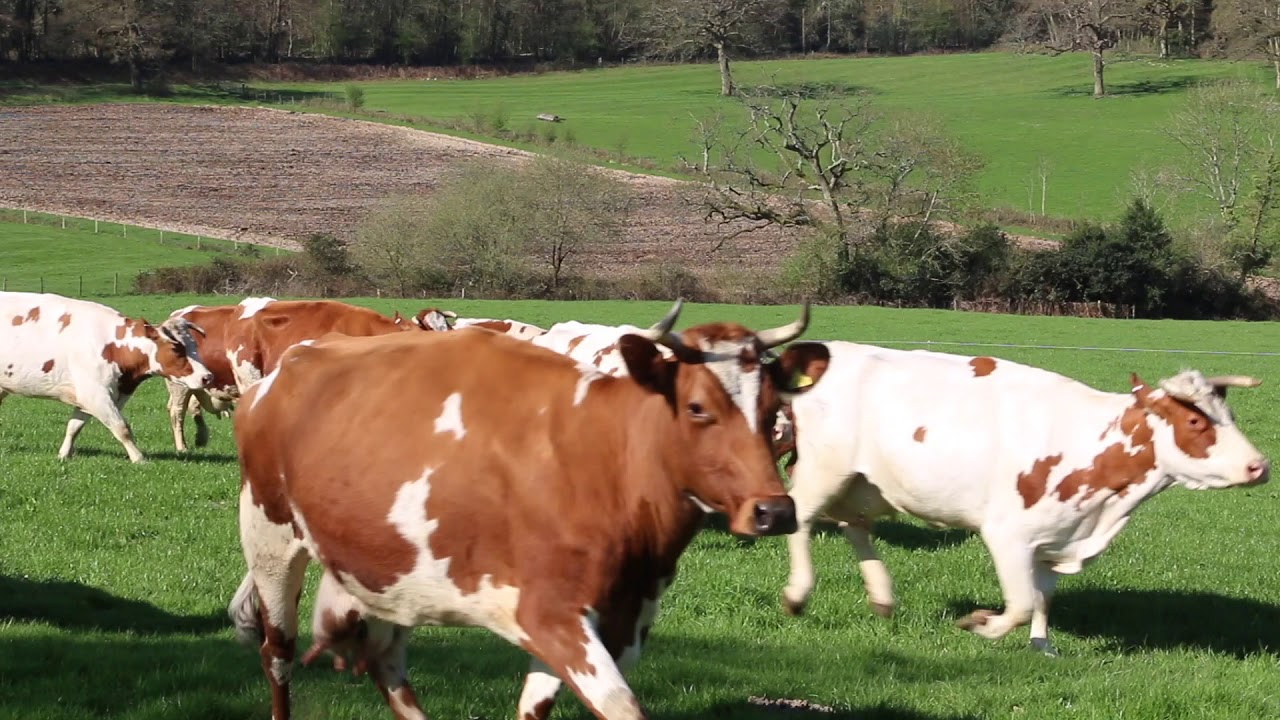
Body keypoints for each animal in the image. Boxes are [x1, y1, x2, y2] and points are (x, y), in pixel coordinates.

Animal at [0, 292, 213, 463]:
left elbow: (74, 426)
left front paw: (64, 454)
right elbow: (121, 428)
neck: (112, 346)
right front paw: (139, 458)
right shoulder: (96, 395)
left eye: (195, 345)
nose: (207, 377)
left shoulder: (92, 397)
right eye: (176, 349)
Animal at [226, 300, 830, 720]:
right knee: (277, 654)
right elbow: (623, 707)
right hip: (271, 538)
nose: (774, 510)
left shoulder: (615, 623)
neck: (608, 466)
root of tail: (291, 364)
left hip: (384, 566)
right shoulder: (554, 616)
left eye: (775, 407)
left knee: (386, 663)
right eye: (698, 407)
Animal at [780, 341, 1270, 656]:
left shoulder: (1056, 537)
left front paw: (1042, 645)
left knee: (854, 526)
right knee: (800, 517)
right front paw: (983, 624)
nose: (1259, 466)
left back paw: (881, 597)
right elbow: (1019, 604)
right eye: (1195, 421)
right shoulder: (1007, 534)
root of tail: (827, 351)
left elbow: (1043, 598)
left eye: (1230, 414)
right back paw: (798, 593)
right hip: (825, 469)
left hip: (865, 484)